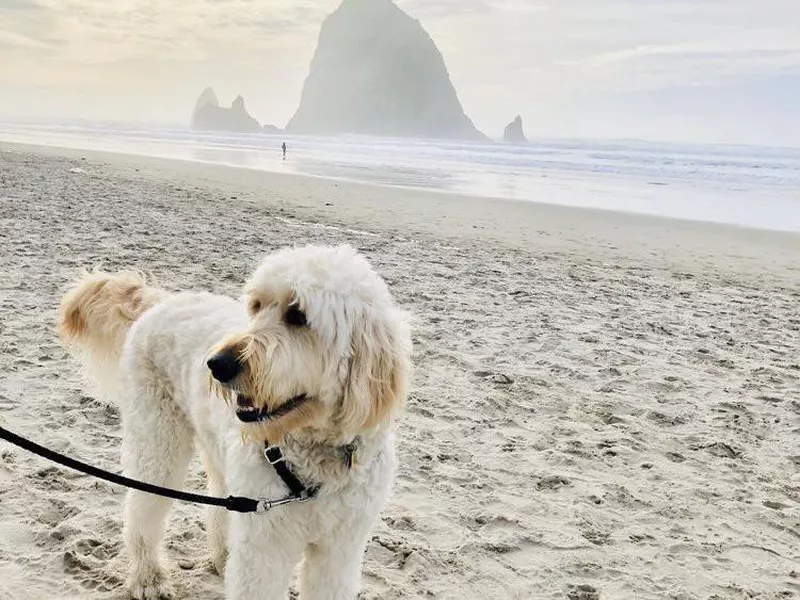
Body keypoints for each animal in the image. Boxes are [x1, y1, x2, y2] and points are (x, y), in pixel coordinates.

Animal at [57, 245, 412, 600]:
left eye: (298, 315)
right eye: (256, 306)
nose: (217, 364)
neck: (315, 453)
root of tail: (161, 300)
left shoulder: (339, 549)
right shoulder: (265, 546)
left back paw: (223, 557)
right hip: (157, 440)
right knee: (144, 508)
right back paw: (149, 578)